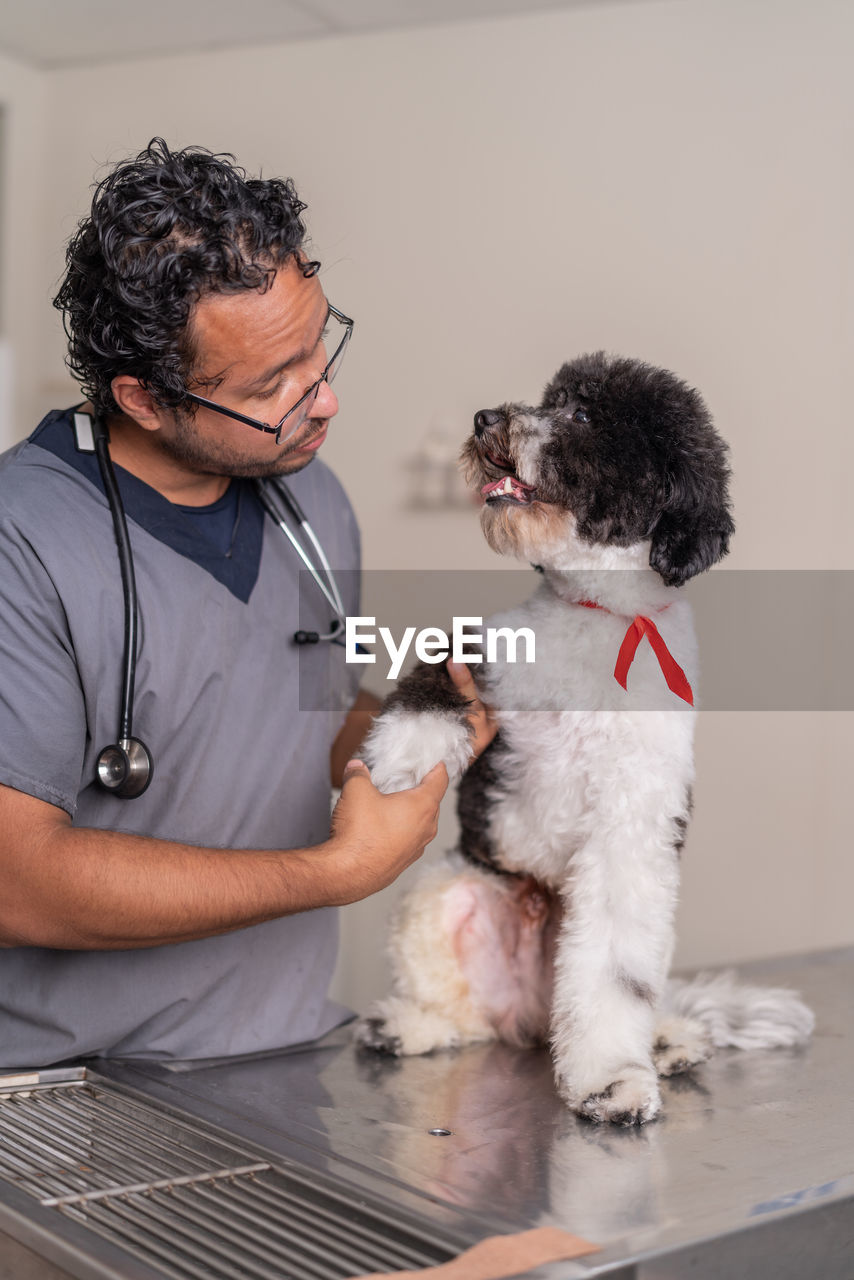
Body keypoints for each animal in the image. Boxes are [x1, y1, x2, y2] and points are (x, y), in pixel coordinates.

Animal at [355, 350, 814, 1121]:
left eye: (580, 415)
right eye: (551, 397)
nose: (486, 418)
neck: (602, 612)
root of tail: (533, 1018)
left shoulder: (632, 832)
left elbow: (614, 975)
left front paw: (610, 1080)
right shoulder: (487, 657)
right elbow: (433, 677)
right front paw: (402, 751)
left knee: (637, 998)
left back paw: (668, 1040)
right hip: (447, 891)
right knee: (467, 1016)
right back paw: (412, 1024)